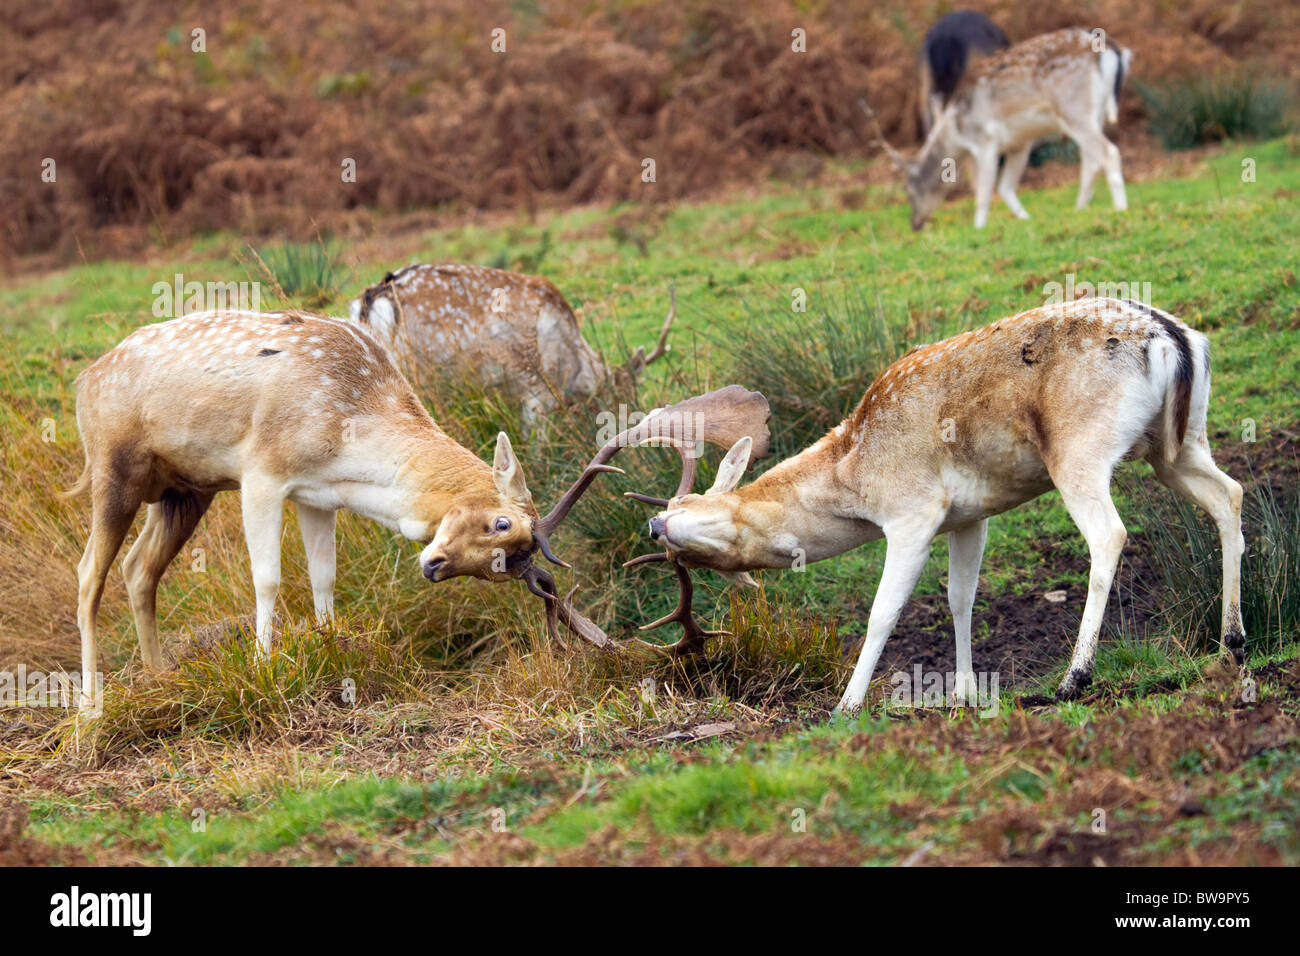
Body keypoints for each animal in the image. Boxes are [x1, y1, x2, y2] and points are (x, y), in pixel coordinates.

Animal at [67, 306, 634, 712]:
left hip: (183, 491)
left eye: (505, 569)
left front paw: (332, 651)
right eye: (501, 524)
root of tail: (85, 381)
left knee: (139, 567)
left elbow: (324, 576)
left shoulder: (316, 495)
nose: (434, 565)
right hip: (113, 468)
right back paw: (91, 706)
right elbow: (268, 577)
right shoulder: (261, 472)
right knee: (89, 573)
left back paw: (160, 676)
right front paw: (263, 668)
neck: (347, 430)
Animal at [634, 300, 1242, 717]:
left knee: (1110, 534)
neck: (855, 469)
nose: (653, 523)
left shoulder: (913, 513)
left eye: (687, 509)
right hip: (1179, 445)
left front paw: (846, 706)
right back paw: (1231, 643)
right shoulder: (970, 516)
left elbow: (883, 612)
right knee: (1229, 495)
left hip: (1080, 453)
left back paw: (1074, 678)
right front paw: (966, 694)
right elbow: (960, 598)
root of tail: (1172, 339)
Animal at [868, 27, 1133, 230]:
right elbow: (1005, 187)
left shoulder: (986, 140)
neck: (956, 130)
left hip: (1073, 108)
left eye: (908, 188)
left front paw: (978, 227)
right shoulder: (1020, 143)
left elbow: (983, 190)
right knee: (1091, 159)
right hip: (1093, 114)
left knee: (1108, 152)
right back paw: (1079, 209)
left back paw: (1121, 208)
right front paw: (1025, 218)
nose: (915, 224)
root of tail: (1115, 51)